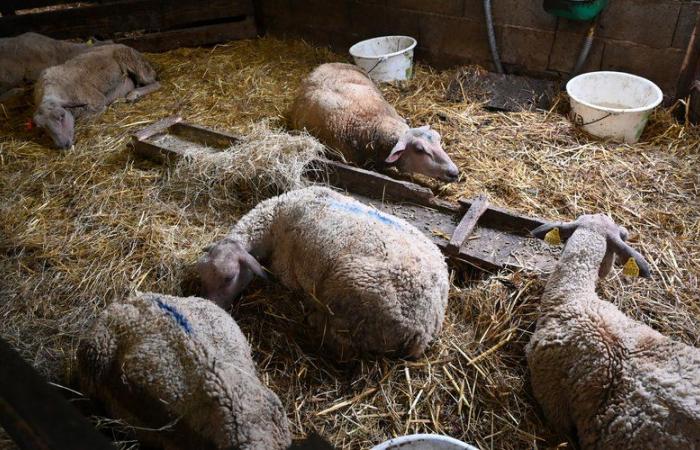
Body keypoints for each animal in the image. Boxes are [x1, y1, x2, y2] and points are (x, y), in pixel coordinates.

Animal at [32, 42, 160, 148]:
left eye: (61, 116)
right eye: (42, 127)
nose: (63, 146)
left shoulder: (97, 102)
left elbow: (85, 118)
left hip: (133, 62)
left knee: (156, 83)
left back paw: (133, 94)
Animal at [197, 185, 448, 360]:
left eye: (229, 278)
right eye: (202, 279)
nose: (210, 305)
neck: (273, 219)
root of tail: (425, 328)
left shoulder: (285, 269)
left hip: (352, 296)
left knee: (342, 345)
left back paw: (313, 318)